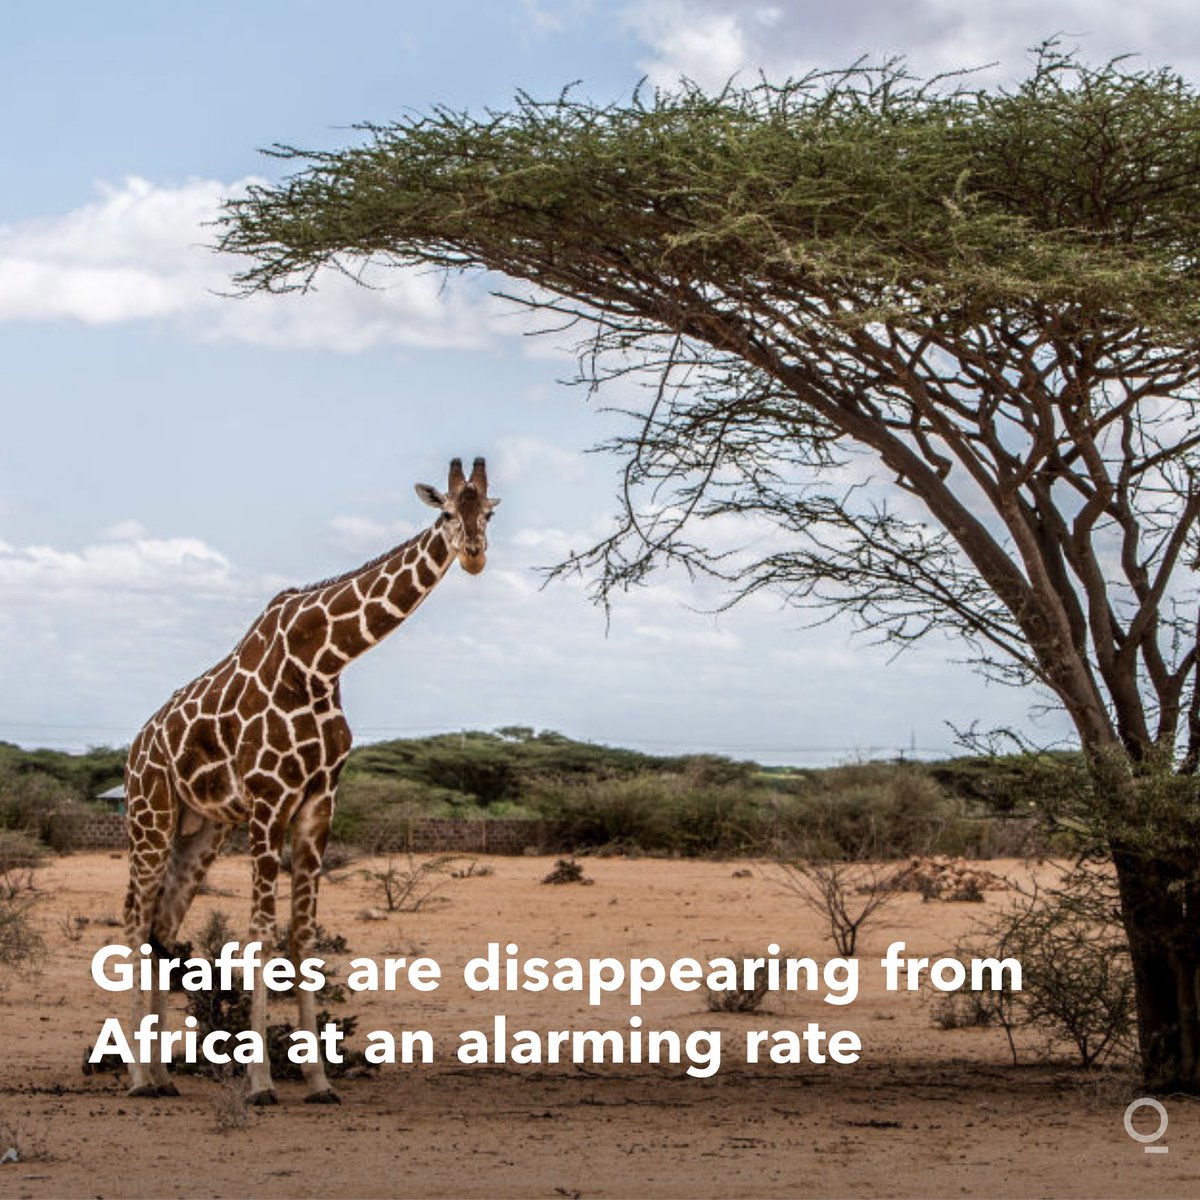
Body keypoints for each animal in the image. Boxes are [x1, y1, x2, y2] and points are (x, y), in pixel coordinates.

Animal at [120, 456, 498, 1104]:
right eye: (448, 512)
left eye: (488, 514)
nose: (474, 553)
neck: (322, 661)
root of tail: (136, 747)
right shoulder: (270, 799)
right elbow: (259, 935)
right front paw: (259, 1083)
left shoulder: (318, 801)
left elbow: (301, 936)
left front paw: (319, 1080)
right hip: (151, 816)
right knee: (135, 920)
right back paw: (140, 1078)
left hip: (202, 831)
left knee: (162, 927)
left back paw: (164, 1075)